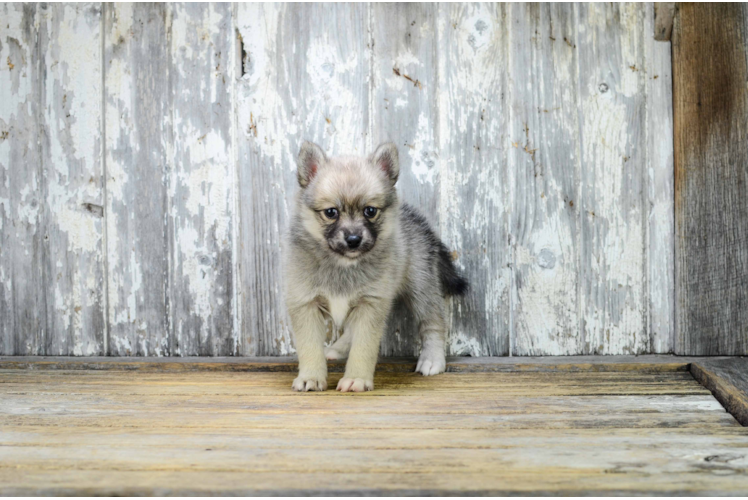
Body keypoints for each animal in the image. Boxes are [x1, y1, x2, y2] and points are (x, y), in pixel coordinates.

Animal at [284, 141, 468, 390]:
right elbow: (310, 347)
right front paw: (311, 377)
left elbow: (363, 349)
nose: (353, 240)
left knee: (433, 322)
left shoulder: (370, 305)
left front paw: (356, 379)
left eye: (370, 211)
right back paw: (337, 349)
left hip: (422, 288)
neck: (343, 264)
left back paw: (432, 359)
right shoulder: (307, 304)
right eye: (331, 213)